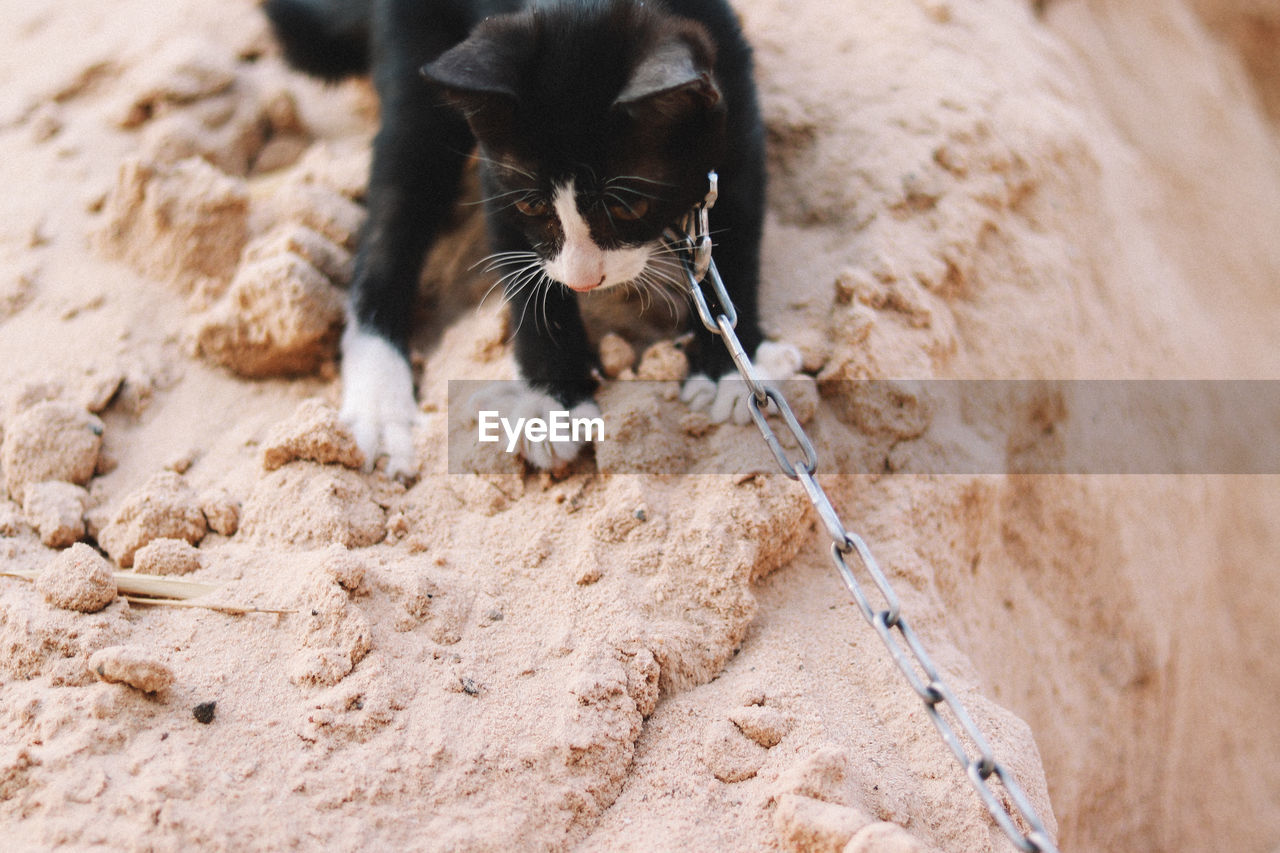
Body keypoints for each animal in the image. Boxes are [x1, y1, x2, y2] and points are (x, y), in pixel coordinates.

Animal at [263, 0, 793, 471]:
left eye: (627, 207)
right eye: (533, 205)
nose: (584, 279)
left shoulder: (735, 118)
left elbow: (735, 241)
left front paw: (728, 370)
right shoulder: (498, 176)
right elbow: (525, 270)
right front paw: (553, 405)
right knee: (393, 211)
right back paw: (379, 401)